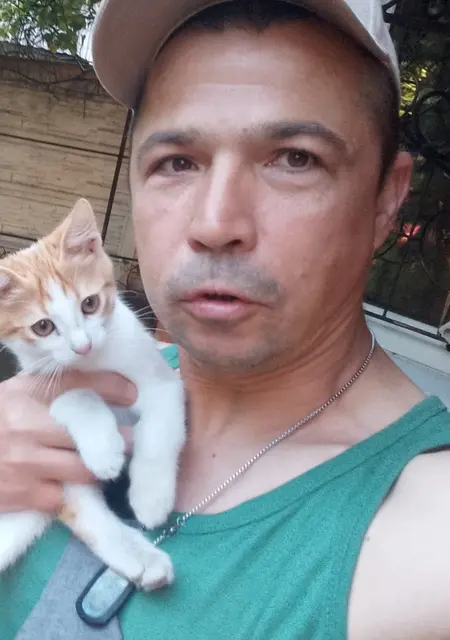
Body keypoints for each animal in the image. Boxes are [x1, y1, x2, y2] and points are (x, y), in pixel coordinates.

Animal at [0, 198, 185, 590]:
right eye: (43, 327)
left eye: (89, 304)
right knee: (85, 511)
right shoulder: (38, 384)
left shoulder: (163, 382)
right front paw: (104, 448)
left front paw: (151, 497)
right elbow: (74, 395)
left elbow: (160, 430)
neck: (95, 363)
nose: (82, 346)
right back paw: (139, 557)